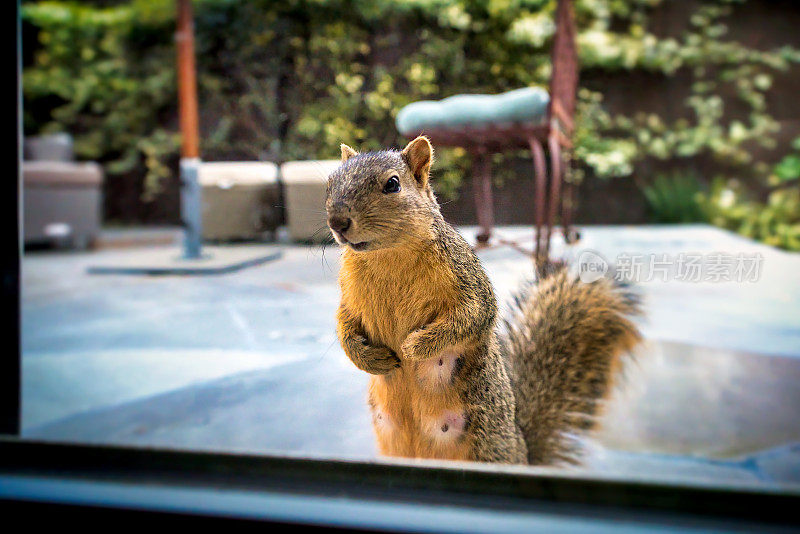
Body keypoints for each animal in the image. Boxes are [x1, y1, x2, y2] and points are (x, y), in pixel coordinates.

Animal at [322, 137, 640, 464]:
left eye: (392, 184)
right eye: (330, 182)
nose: (338, 222)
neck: (386, 256)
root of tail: (523, 452)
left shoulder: (468, 282)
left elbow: (470, 318)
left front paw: (416, 346)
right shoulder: (350, 296)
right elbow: (344, 324)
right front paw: (365, 356)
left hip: (488, 447)